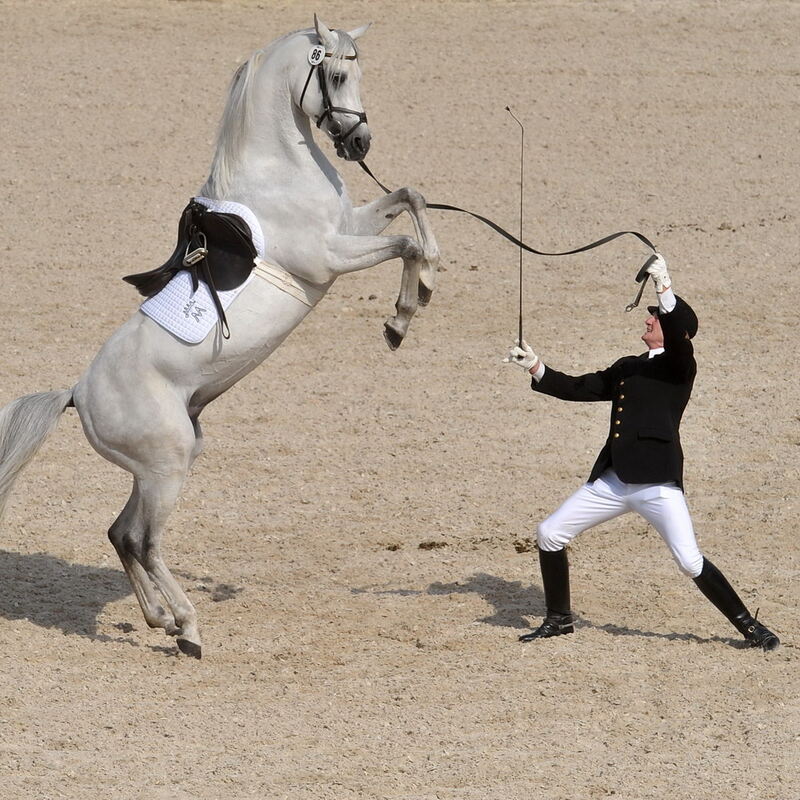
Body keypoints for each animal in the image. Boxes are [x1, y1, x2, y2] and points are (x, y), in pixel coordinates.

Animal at [0, 17, 438, 656]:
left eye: (358, 71)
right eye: (335, 75)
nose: (359, 144)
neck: (276, 172)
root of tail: (78, 394)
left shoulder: (350, 225)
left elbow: (410, 197)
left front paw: (414, 298)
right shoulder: (330, 255)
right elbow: (406, 242)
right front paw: (407, 307)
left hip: (163, 461)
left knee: (122, 535)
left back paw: (162, 621)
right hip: (168, 465)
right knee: (146, 541)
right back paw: (188, 628)